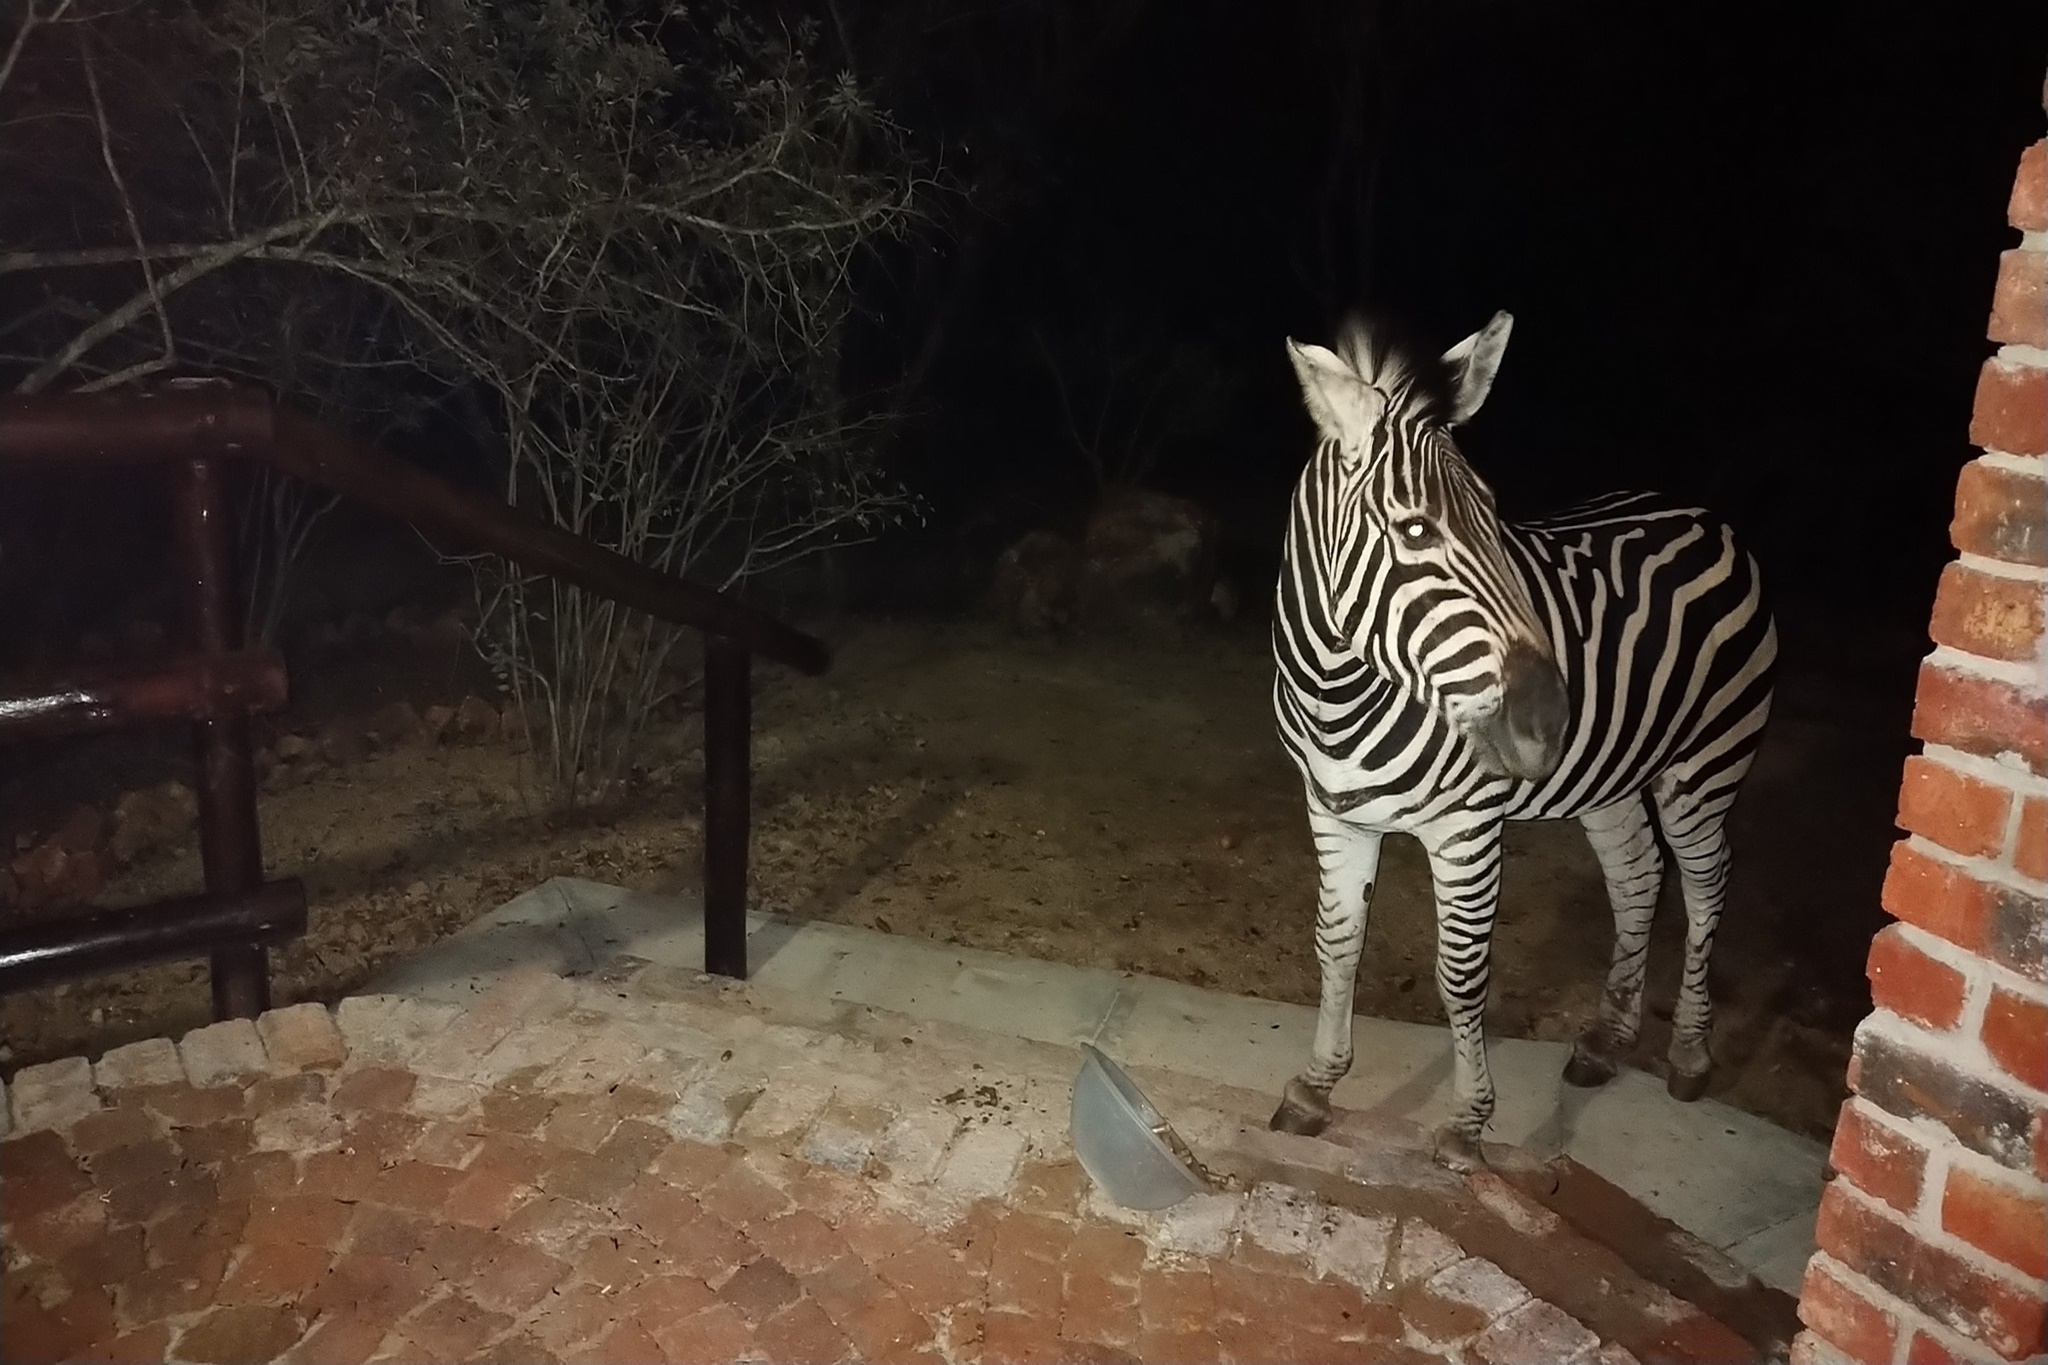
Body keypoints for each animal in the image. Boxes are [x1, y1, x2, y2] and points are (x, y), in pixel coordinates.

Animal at [1268, 310, 1777, 1171]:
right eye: (1415, 528)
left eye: (1495, 515)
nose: (1551, 720)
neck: (1338, 688)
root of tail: (1704, 516)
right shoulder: (1334, 812)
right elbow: (1336, 944)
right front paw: (1315, 1085)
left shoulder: (1468, 830)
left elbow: (1461, 973)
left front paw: (1468, 1124)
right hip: (1611, 779)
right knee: (1639, 876)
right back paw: (1605, 1040)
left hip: (1705, 764)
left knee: (1708, 881)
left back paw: (1688, 1053)